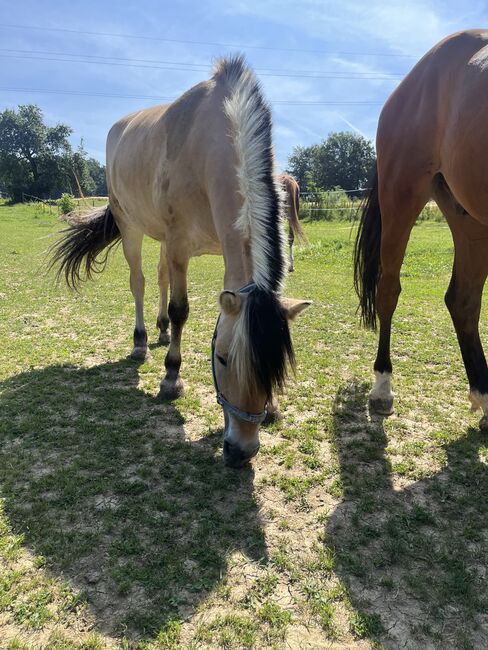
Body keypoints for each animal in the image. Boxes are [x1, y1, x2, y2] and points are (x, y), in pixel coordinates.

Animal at [51, 57, 310, 466]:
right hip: (131, 227)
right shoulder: (178, 246)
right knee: (140, 283)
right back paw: (142, 342)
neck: (208, 149)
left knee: (159, 279)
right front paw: (171, 378)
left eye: (276, 367)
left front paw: (271, 406)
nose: (242, 451)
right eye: (221, 359)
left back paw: (159, 332)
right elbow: (180, 310)